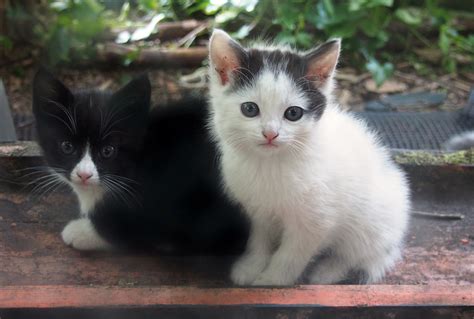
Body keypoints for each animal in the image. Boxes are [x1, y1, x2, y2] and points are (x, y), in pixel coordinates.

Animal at [207, 28, 412, 286]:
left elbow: (291, 254)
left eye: (293, 113)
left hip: (374, 222)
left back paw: (328, 270)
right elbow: (259, 239)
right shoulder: (258, 211)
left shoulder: (316, 222)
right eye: (250, 109)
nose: (270, 134)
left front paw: (271, 280)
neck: (270, 164)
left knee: (361, 255)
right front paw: (251, 267)